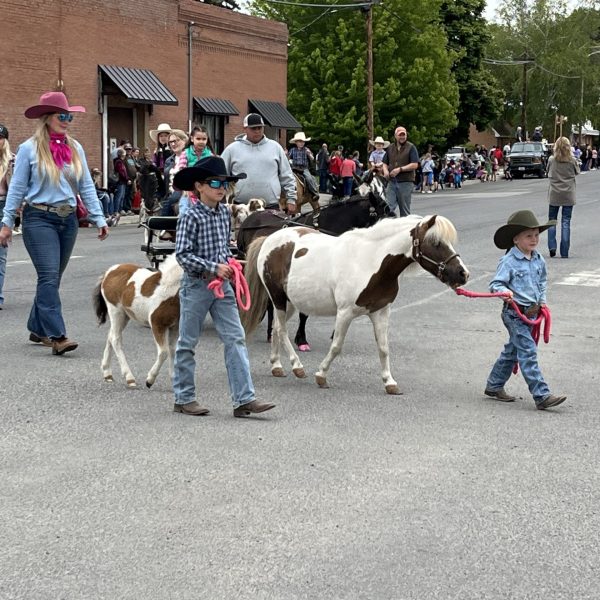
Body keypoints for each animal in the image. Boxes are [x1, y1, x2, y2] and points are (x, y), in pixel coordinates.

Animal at [92, 254, 182, 390]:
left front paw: (174, 379)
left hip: (125, 315)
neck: (171, 288)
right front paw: (150, 380)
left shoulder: (175, 326)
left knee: (110, 335)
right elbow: (164, 352)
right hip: (116, 311)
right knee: (115, 339)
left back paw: (107, 372)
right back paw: (129, 378)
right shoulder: (157, 324)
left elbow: (172, 350)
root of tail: (108, 272)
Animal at [241, 214, 472, 394]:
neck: (371, 261)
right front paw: (321, 375)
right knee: (281, 330)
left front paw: (389, 382)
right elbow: (336, 346)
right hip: (278, 298)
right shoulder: (345, 313)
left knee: (277, 328)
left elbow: (384, 348)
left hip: (290, 302)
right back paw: (297, 367)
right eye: (436, 243)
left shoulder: (381, 312)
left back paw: (277, 366)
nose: (463, 274)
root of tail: (269, 239)